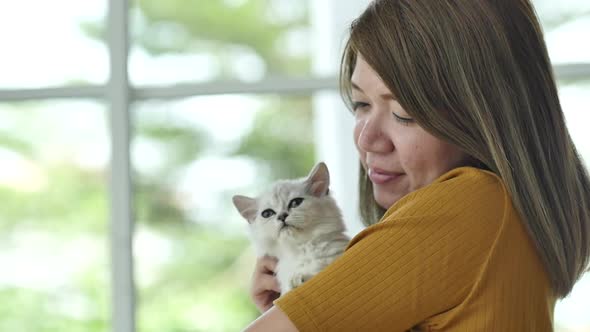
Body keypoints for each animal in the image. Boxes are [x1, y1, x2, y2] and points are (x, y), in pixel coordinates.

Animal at [232, 162, 352, 294]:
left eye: (295, 203)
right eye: (267, 214)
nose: (282, 216)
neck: (300, 249)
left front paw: (300, 278)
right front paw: (296, 280)